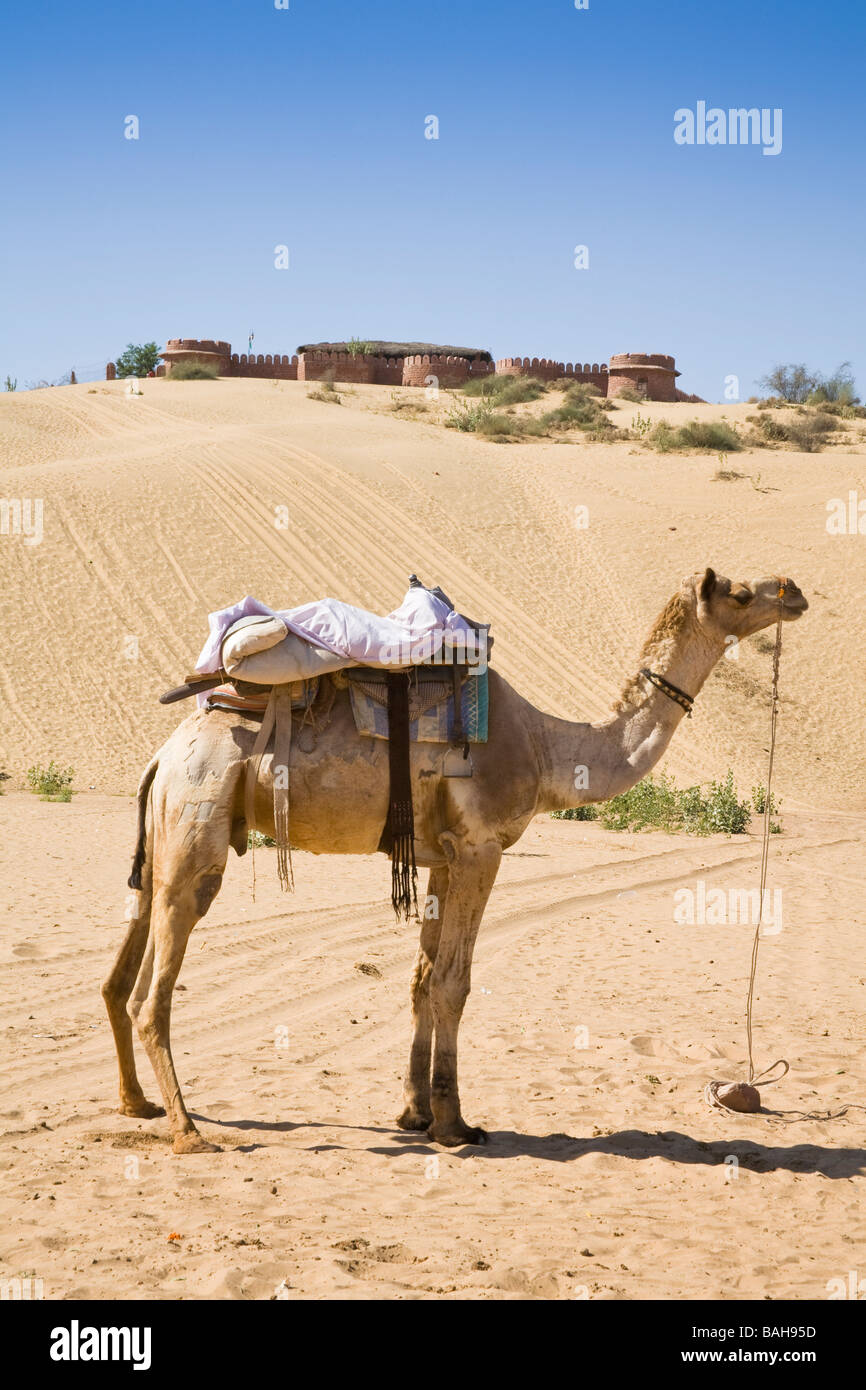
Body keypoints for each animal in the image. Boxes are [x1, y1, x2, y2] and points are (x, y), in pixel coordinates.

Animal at [104, 567, 811, 1150]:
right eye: (739, 594)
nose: (794, 590)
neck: (551, 750)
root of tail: (165, 754)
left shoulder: (440, 857)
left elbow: (421, 980)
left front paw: (413, 1113)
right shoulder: (480, 848)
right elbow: (454, 983)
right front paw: (454, 1124)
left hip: (165, 833)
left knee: (123, 966)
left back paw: (137, 1104)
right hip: (198, 821)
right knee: (153, 989)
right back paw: (189, 1131)